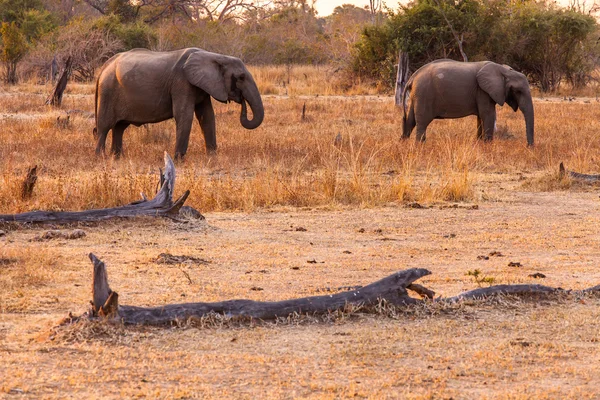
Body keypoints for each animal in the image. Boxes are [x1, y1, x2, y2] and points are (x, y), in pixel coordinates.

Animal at [93, 47, 262, 159]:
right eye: (241, 77)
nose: (241, 101)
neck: (215, 56)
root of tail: (104, 67)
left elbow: (207, 116)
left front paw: (212, 157)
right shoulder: (181, 82)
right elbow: (184, 115)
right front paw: (178, 159)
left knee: (119, 127)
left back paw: (117, 157)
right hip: (107, 91)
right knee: (104, 127)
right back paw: (101, 158)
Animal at [404, 59, 536, 147]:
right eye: (517, 91)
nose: (528, 147)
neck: (503, 70)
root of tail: (413, 77)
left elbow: (481, 117)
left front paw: (480, 144)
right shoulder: (483, 91)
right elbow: (488, 115)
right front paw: (488, 146)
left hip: (417, 96)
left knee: (410, 120)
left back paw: (403, 142)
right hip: (424, 95)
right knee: (422, 122)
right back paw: (420, 146)